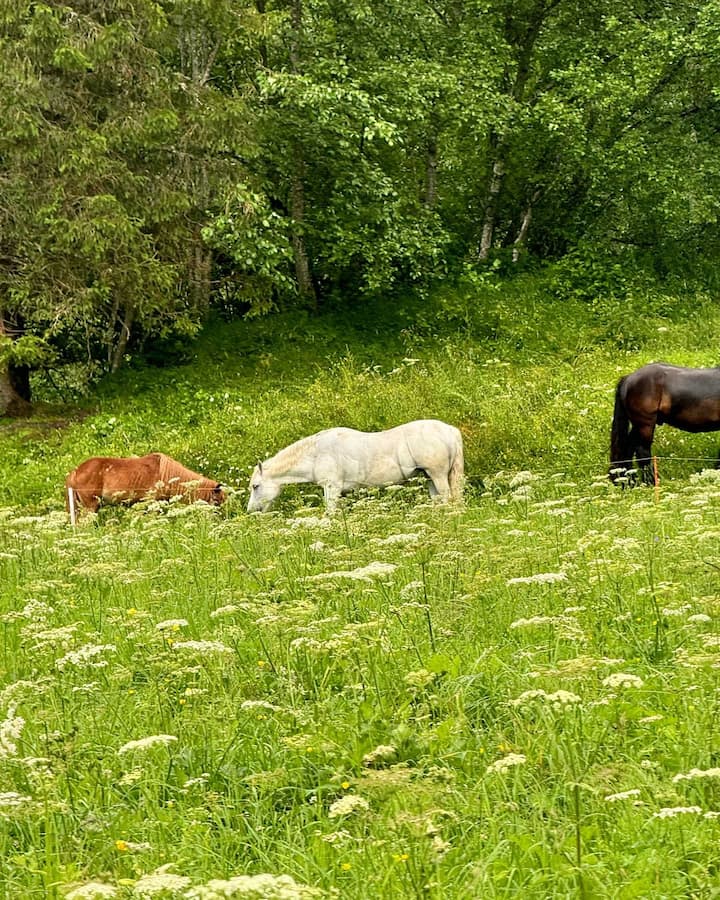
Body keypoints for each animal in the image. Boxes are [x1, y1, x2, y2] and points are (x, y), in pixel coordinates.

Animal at [248, 416, 464, 510]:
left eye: (255, 486)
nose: (251, 511)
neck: (316, 454)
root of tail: (450, 430)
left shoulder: (332, 488)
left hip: (438, 476)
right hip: (429, 477)